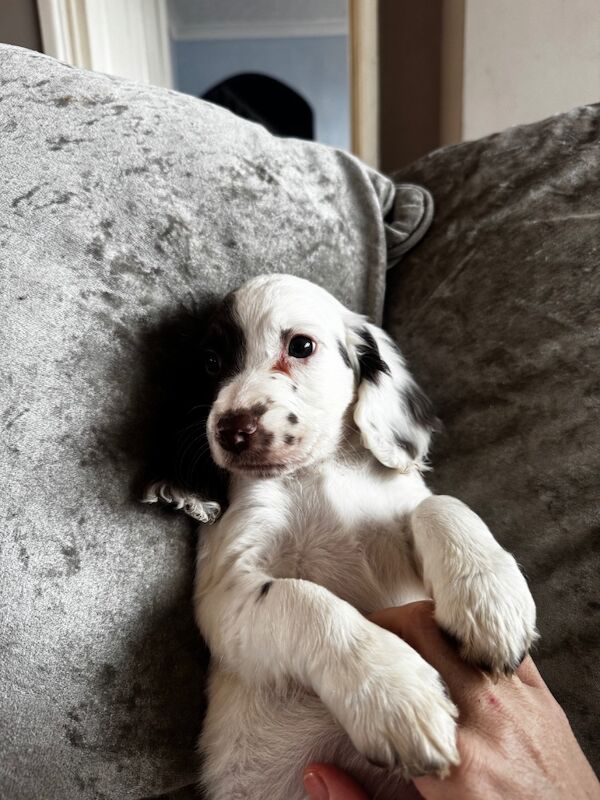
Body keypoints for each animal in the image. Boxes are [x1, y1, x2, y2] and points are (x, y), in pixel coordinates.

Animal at [145, 276, 540, 800]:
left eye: (301, 346)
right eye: (211, 363)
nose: (231, 431)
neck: (317, 472)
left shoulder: (402, 503)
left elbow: (440, 505)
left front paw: (490, 603)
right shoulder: (226, 589)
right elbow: (302, 598)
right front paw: (393, 693)